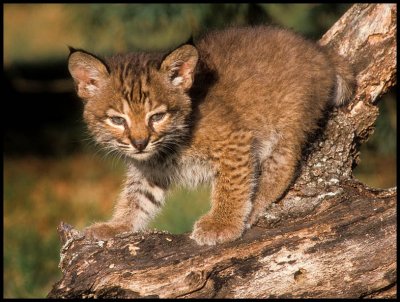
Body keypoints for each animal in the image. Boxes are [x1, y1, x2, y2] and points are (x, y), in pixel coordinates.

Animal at [68, 24, 354, 244]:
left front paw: (222, 224)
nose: (140, 143)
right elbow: (136, 197)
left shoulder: (235, 140)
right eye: (117, 120)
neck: (171, 141)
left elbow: (231, 185)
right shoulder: (150, 168)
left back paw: (256, 203)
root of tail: (315, 49)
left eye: (157, 116)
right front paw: (116, 226)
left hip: (288, 123)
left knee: (283, 166)